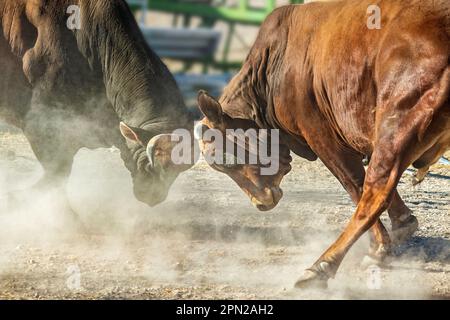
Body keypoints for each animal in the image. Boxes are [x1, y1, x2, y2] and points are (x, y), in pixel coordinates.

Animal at [192, 0, 448, 288]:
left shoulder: (321, 135)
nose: (261, 203)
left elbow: (355, 185)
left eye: (226, 159)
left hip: (399, 120)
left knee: (375, 193)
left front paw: (380, 246)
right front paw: (403, 223)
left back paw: (321, 266)